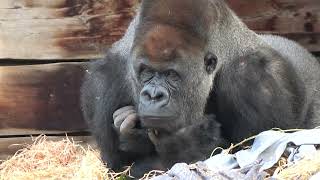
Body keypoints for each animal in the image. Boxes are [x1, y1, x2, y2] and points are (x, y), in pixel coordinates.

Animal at [80, 0, 320, 177]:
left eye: (172, 75)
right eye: (146, 71)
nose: (153, 95)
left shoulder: (256, 78)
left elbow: (249, 157)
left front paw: (183, 145)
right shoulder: (104, 81)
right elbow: (119, 168)